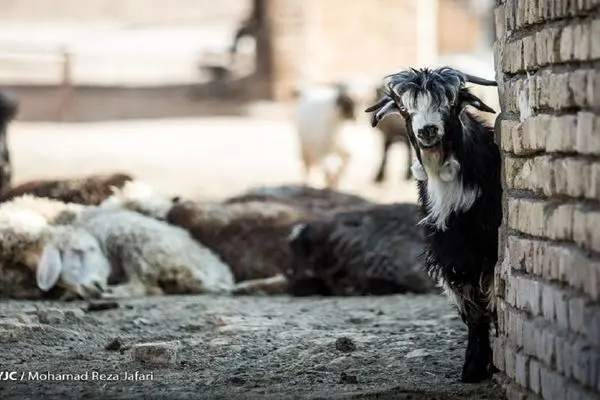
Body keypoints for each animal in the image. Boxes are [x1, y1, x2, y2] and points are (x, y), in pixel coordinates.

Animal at [366, 67, 502, 382]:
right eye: (404, 108)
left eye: (451, 102)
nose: (427, 130)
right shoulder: (451, 255)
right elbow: (473, 312)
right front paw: (473, 368)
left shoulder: (486, 253)